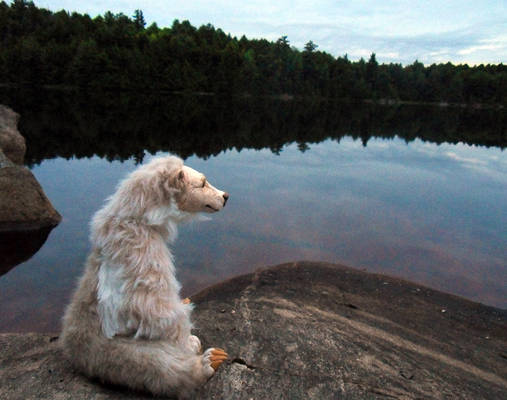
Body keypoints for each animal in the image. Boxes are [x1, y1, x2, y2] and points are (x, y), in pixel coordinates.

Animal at [60, 155, 232, 396]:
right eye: (202, 183)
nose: (225, 196)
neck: (138, 218)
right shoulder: (140, 251)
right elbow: (154, 307)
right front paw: (190, 342)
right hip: (106, 348)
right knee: (152, 364)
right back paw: (209, 361)